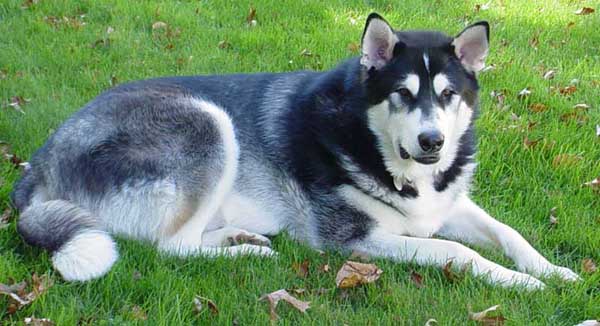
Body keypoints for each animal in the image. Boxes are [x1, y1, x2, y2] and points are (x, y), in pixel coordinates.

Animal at [11, 13, 580, 288]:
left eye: (447, 95)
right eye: (402, 93)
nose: (433, 142)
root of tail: (41, 159)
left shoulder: (445, 203)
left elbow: (508, 233)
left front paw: (554, 272)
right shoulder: (353, 239)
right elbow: (458, 253)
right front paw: (522, 284)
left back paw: (240, 236)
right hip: (209, 123)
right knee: (172, 248)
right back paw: (242, 252)